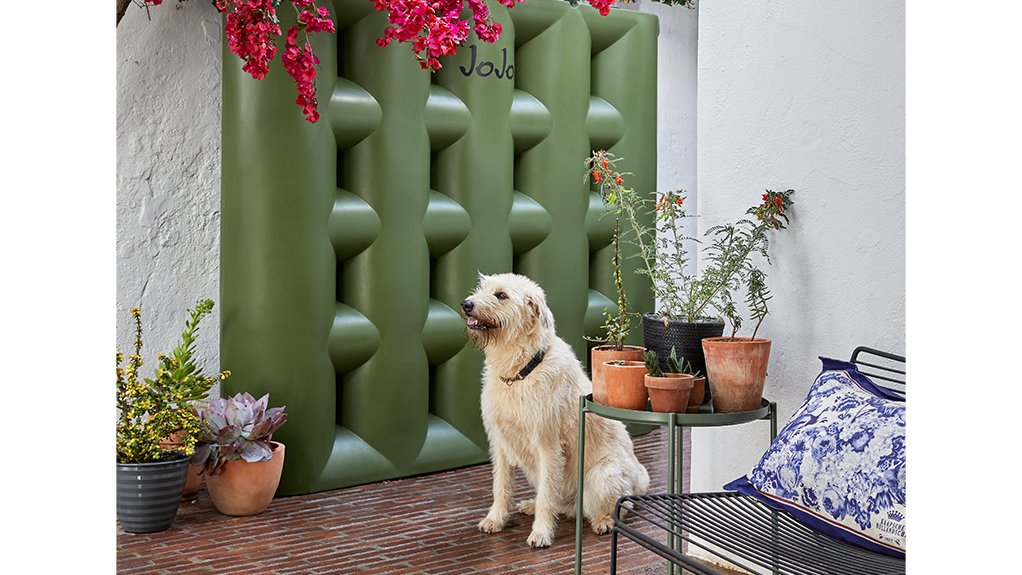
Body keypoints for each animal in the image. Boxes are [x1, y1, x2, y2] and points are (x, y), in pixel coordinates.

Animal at [463, 273, 645, 547]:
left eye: (501, 295)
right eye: (482, 288)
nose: (466, 304)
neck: (519, 371)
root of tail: (639, 479)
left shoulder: (547, 445)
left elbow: (547, 495)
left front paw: (540, 533)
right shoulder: (500, 442)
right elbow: (501, 486)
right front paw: (495, 519)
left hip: (602, 475)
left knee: (617, 505)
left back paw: (603, 521)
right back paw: (531, 505)